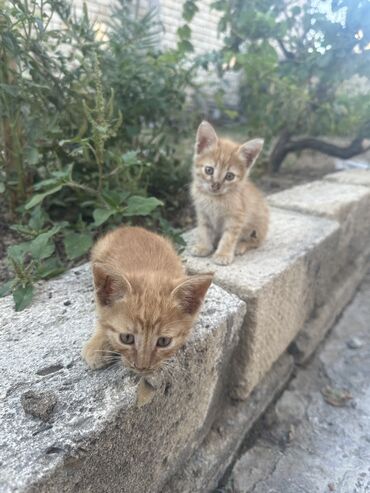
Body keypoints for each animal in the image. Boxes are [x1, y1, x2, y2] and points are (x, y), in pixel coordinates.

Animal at [82, 225, 212, 370]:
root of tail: (131, 227)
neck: (149, 271)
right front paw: (97, 344)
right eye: (126, 338)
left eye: (164, 341)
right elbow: (102, 318)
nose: (142, 367)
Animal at [191, 119, 268, 266]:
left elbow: (229, 237)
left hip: (257, 226)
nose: (215, 185)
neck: (214, 198)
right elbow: (204, 230)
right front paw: (204, 246)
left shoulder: (236, 218)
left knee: (256, 242)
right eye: (209, 170)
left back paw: (240, 246)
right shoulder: (203, 213)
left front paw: (223, 254)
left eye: (229, 176)